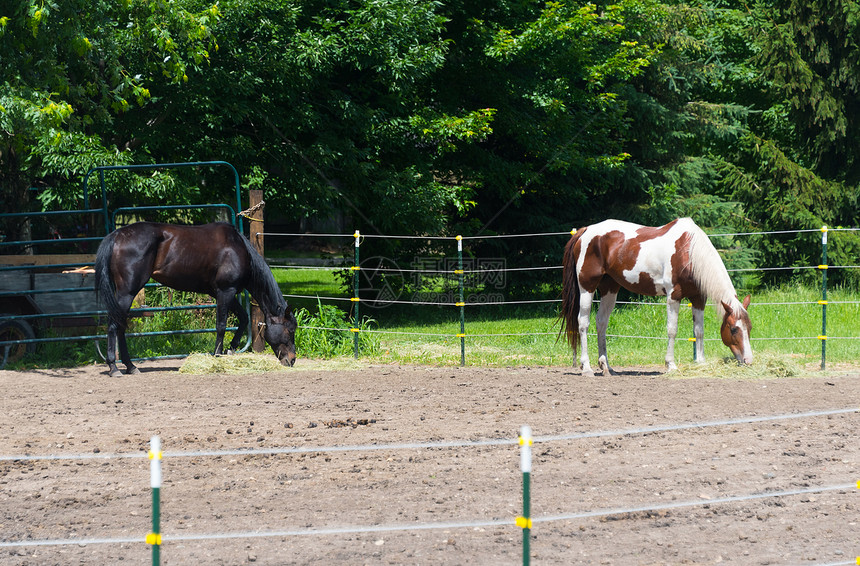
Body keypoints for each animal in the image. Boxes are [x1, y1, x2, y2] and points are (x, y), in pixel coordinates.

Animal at [96, 222, 298, 378]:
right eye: (290, 331)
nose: (292, 359)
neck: (238, 249)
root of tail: (116, 235)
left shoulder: (223, 293)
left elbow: (243, 318)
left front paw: (231, 349)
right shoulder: (226, 291)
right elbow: (221, 326)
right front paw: (217, 356)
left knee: (120, 327)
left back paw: (130, 366)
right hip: (127, 293)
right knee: (114, 326)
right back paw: (114, 367)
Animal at [560, 219, 748, 378]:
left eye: (750, 328)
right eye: (733, 329)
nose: (748, 360)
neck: (688, 251)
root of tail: (585, 231)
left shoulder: (699, 298)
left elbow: (699, 331)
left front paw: (700, 363)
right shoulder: (673, 296)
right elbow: (672, 330)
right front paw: (671, 365)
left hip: (610, 288)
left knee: (601, 322)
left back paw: (606, 366)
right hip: (587, 287)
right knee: (583, 323)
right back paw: (587, 368)